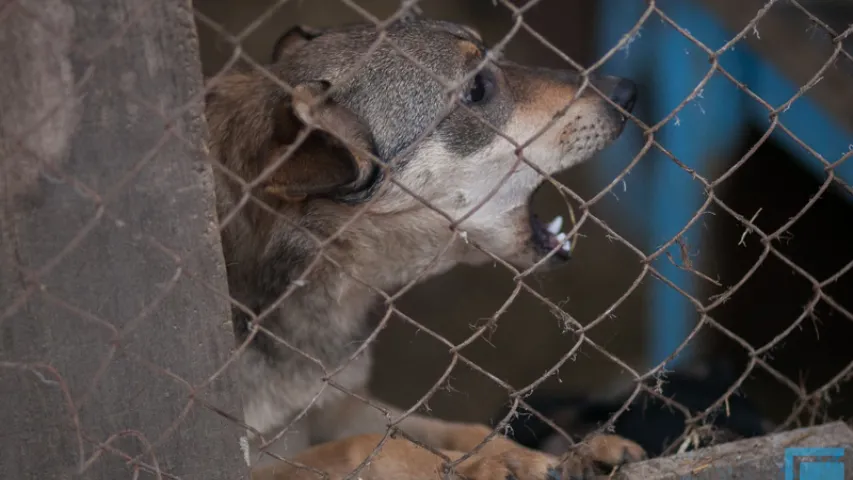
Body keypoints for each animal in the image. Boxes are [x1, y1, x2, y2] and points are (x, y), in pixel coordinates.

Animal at [206, 15, 644, 480]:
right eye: (477, 89)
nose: (627, 90)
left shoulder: (341, 408)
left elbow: (457, 430)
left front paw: (565, 451)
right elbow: (367, 447)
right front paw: (492, 464)